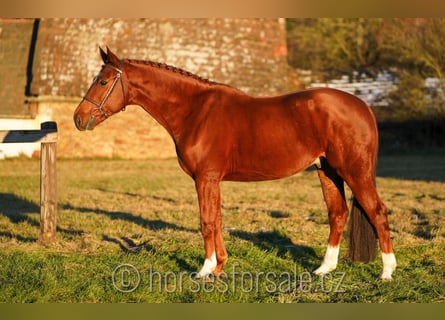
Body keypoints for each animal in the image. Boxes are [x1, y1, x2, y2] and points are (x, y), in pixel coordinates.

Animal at [74, 47, 398, 280]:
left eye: (103, 81)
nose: (79, 118)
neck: (195, 110)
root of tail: (363, 106)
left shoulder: (205, 177)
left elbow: (206, 221)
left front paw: (204, 270)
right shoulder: (212, 179)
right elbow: (216, 220)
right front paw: (219, 267)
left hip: (354, 171)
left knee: (377, 211)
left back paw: (387, 272)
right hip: (327, 170)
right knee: (338, 213)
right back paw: (324, 269)